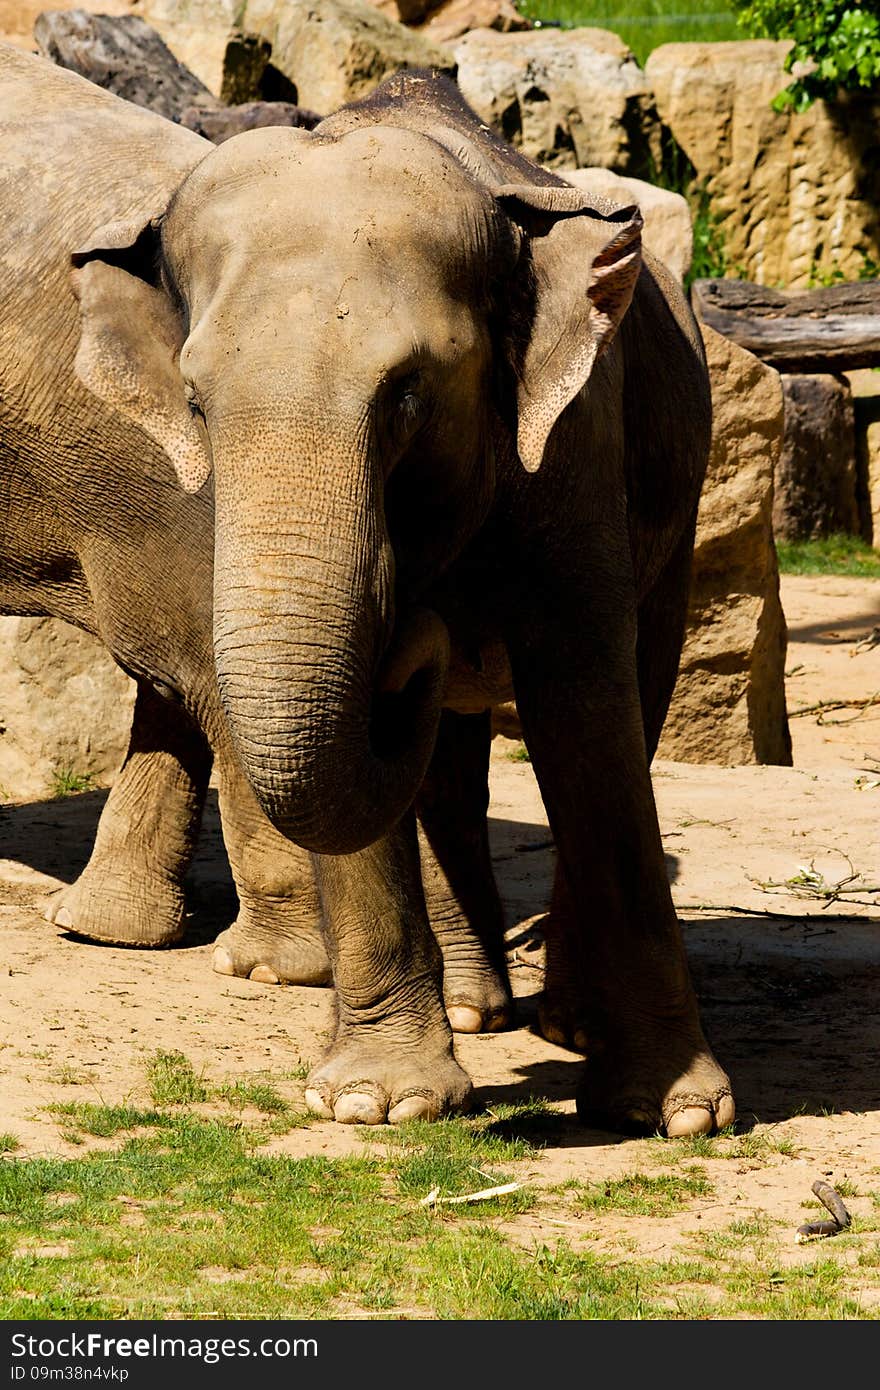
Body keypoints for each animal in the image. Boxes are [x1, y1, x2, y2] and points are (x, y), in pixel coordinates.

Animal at [0, 48, 734, 1139]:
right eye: (197, 402)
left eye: (411, 393)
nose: (420, 624)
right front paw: (375, 1102)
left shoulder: (575, 446)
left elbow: (585, 715)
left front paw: (672, 1113)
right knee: (429, 759)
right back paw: (472, 1010)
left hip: (677, 506)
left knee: (629, 690)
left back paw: (559, 1022)